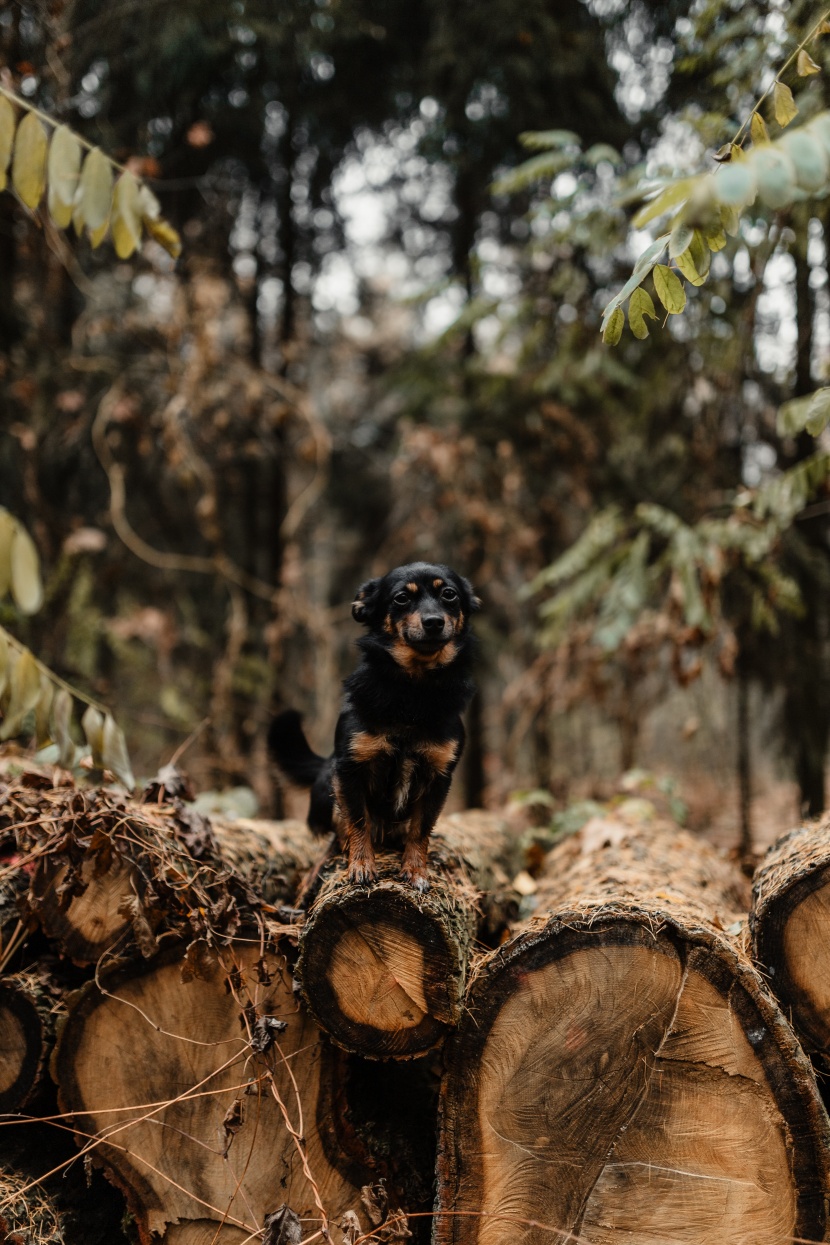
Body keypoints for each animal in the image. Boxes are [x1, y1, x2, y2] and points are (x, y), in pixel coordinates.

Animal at [271, 560, 480, 891]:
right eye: (401, 599)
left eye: (449, 594)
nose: (434, 622)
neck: (414, 690)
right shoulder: (350, 769)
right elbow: (358, 822)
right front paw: (361, 865)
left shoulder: (438, 776)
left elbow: (421, 829)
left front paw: (416, 870)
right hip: (328, 779)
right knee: (336, 834)